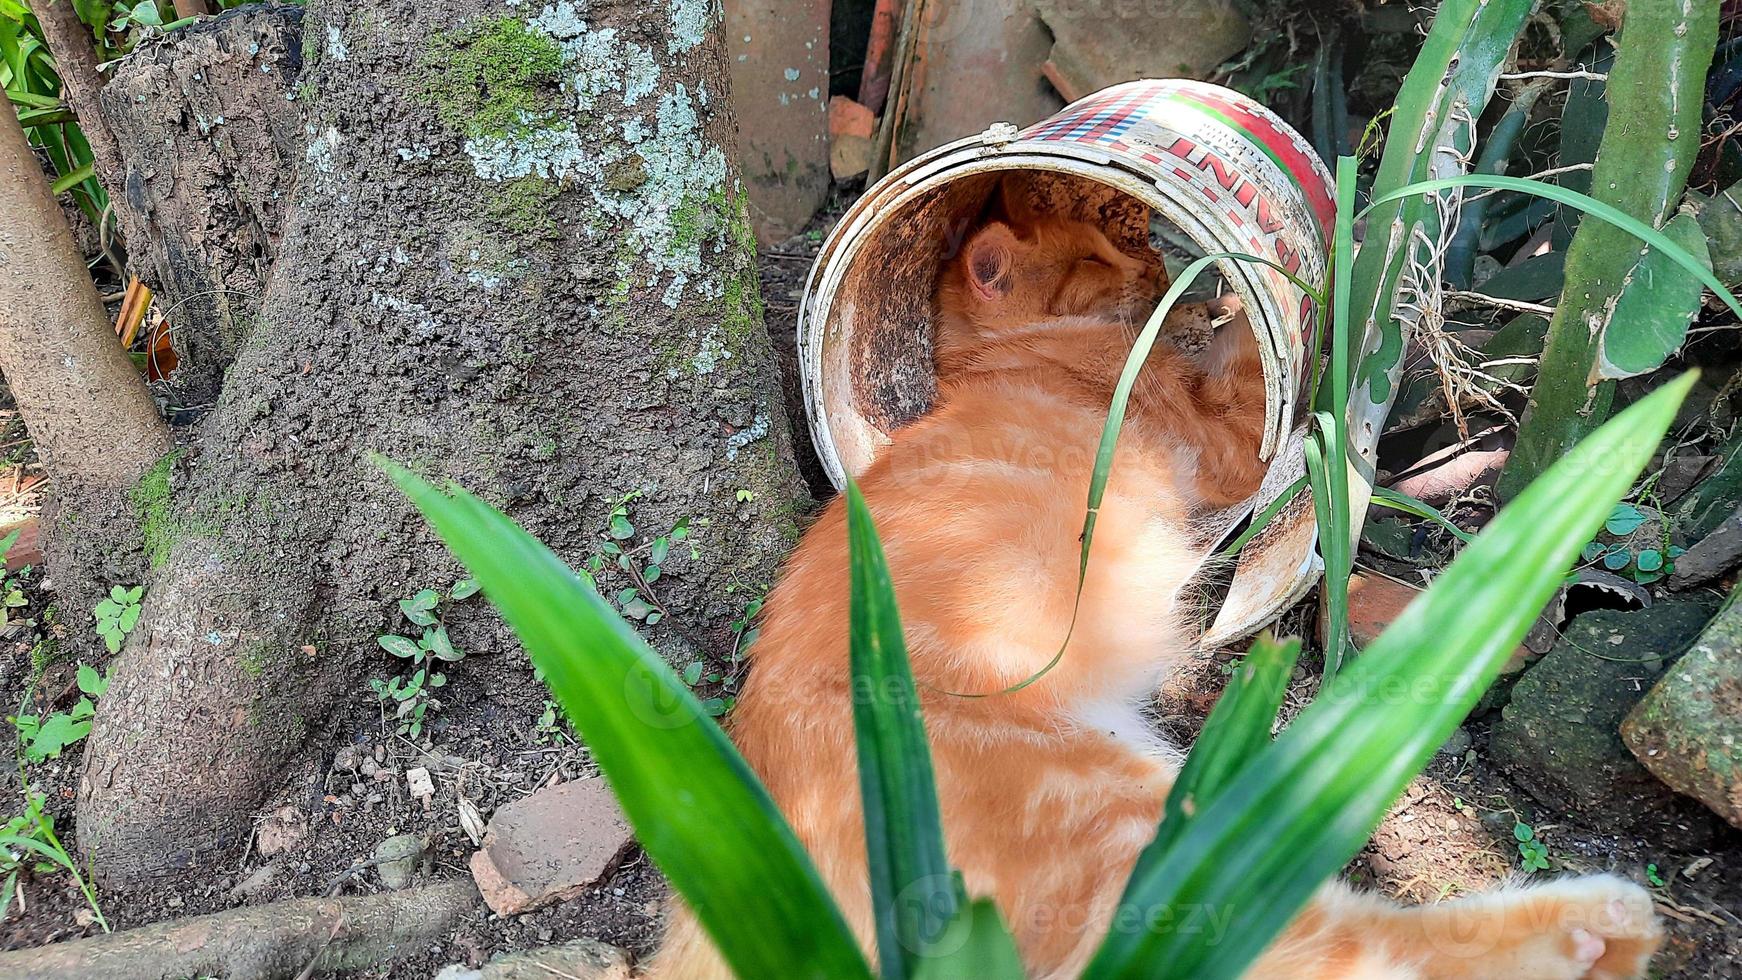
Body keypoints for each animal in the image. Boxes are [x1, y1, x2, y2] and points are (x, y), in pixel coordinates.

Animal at [648, 195, 1651, 974]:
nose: (1163, 265)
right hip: (1128, 838)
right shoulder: (1221, 439)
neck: (1010, 359)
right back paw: (1601, 922)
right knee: (1332, 944)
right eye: (1096, 259)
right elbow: (1247, 362)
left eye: (1118, 237)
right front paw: (1271, 282)